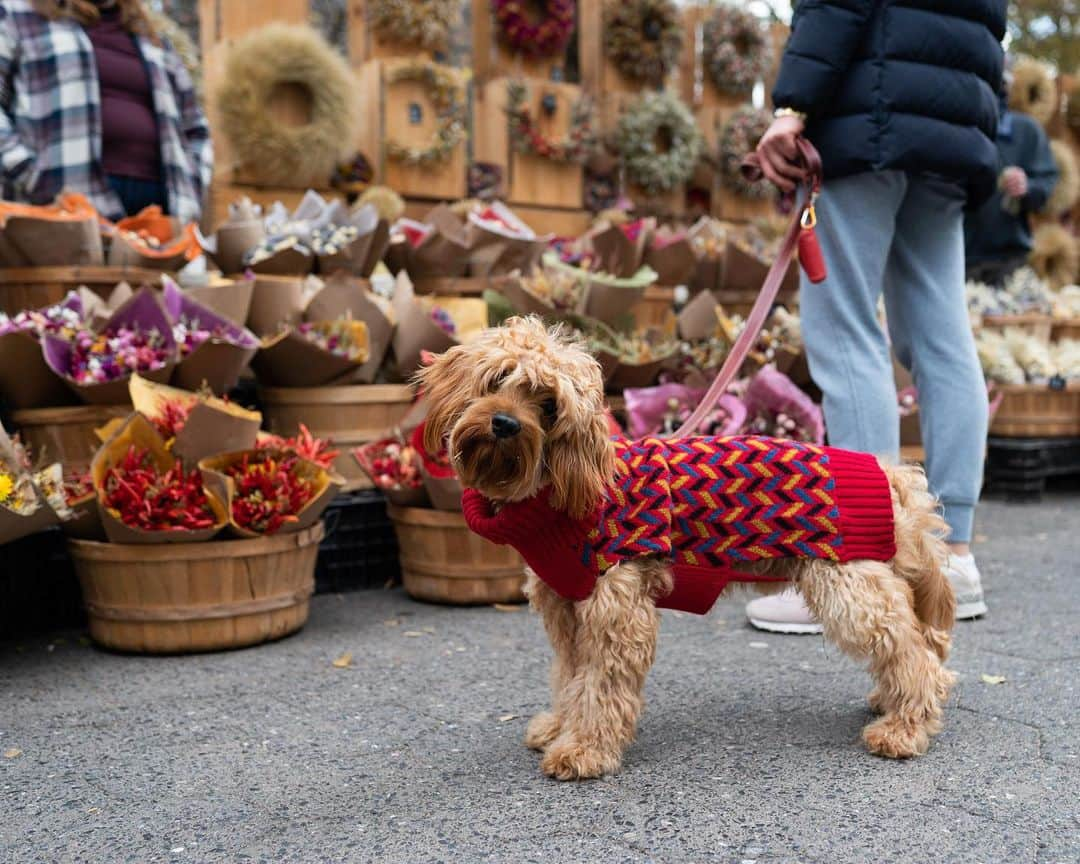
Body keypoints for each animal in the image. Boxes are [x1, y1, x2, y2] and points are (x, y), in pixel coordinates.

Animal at [416, 317, 959, 781]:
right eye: (496, 380)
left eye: (548, 405)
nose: (505, 424)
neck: (559, 491)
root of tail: (889, 473)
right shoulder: (566, 608)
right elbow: (572, 677)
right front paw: (560, 726)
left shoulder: (615, 607)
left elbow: (601, 684)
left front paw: (585, 749)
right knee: (915, 641)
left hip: (849, 587)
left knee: (914, 652)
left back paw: (905, 726)